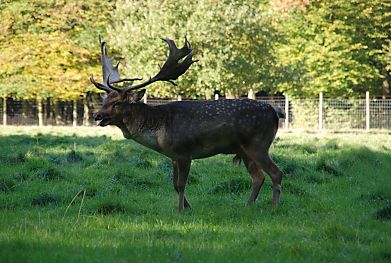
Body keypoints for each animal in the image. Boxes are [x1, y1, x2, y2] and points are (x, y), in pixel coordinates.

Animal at [90, 36, 284, 213]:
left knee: (276, 173)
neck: (160, 131)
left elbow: (182, 184)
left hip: (259, 144)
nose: (96, 115)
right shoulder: (173, 156)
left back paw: (274, 207)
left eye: (117, 103)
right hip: (244, 150)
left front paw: (181, 211)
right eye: (105, 99)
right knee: (258, 177)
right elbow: (175, 184)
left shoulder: (184, 152)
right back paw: (248, 206)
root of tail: (275, 113)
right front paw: (188, 207)